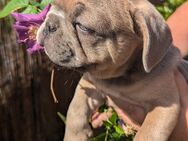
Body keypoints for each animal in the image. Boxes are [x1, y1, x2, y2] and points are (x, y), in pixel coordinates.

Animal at [36, 0, 188, 140]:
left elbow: (147, 133)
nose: (49, 24)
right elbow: (75, 108)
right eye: (52, 5)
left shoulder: (164, 107)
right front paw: (74, 135)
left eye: (83, 27)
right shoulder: (90, 84)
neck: (119, 76)